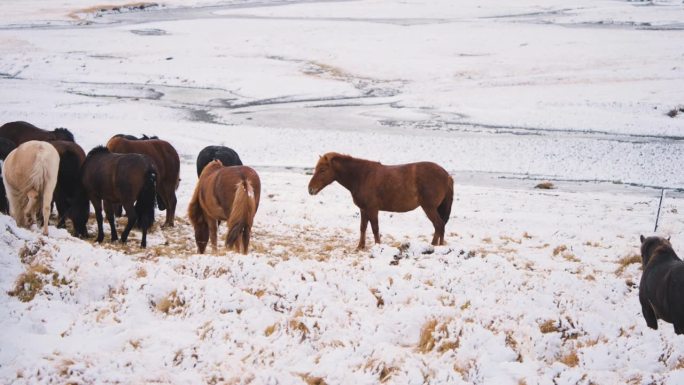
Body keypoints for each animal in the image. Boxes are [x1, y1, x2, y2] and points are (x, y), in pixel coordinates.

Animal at [310, 152, 454, 248]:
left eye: (322, 170)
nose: (310, 189)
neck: (362, 176)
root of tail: (447, 175)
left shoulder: (372, 209)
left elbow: (375, 228)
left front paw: (378, 246)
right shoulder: (363, 209)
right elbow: (363, 227)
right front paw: (360, 246)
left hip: (429, 208)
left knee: (439, 225)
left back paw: (435, 246)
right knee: (440, 226)